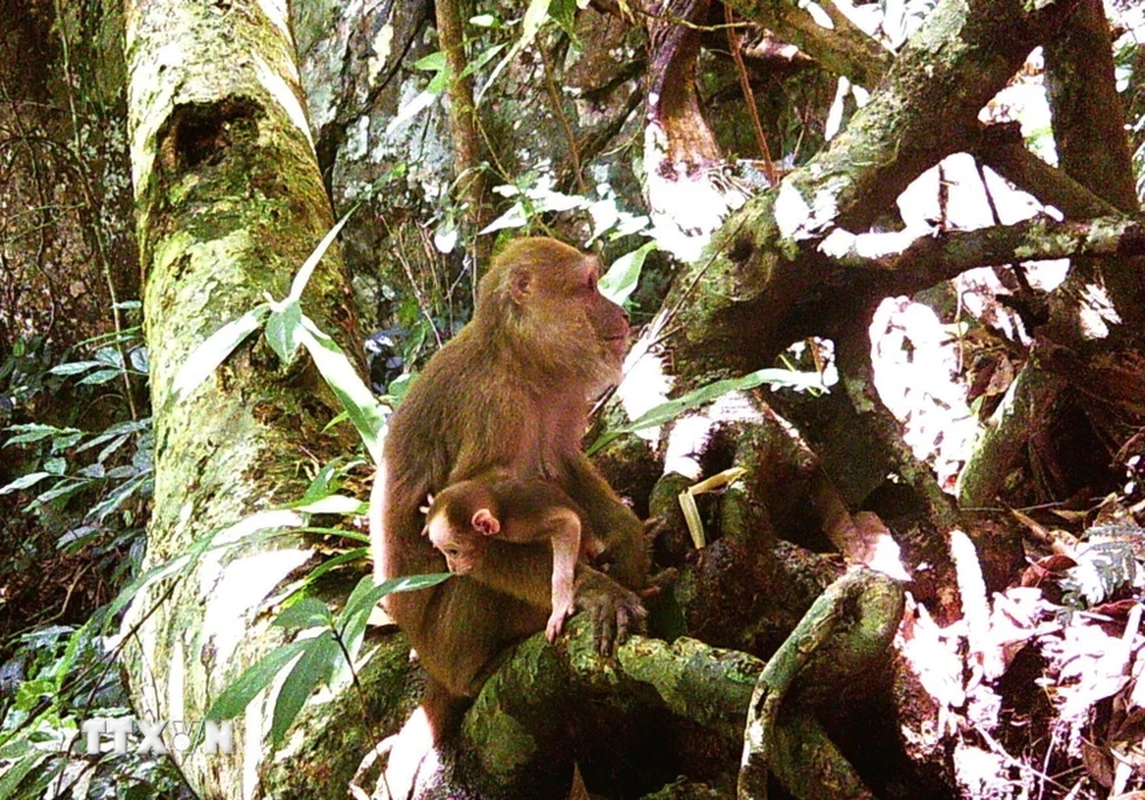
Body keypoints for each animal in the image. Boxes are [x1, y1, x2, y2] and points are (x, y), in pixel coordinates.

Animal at [421, 476, 599, 645]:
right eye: (444, 552)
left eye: (453, 552)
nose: (452, 567)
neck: (501, 510)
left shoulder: (521, 524)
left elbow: (567, 523)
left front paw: (560, 606)